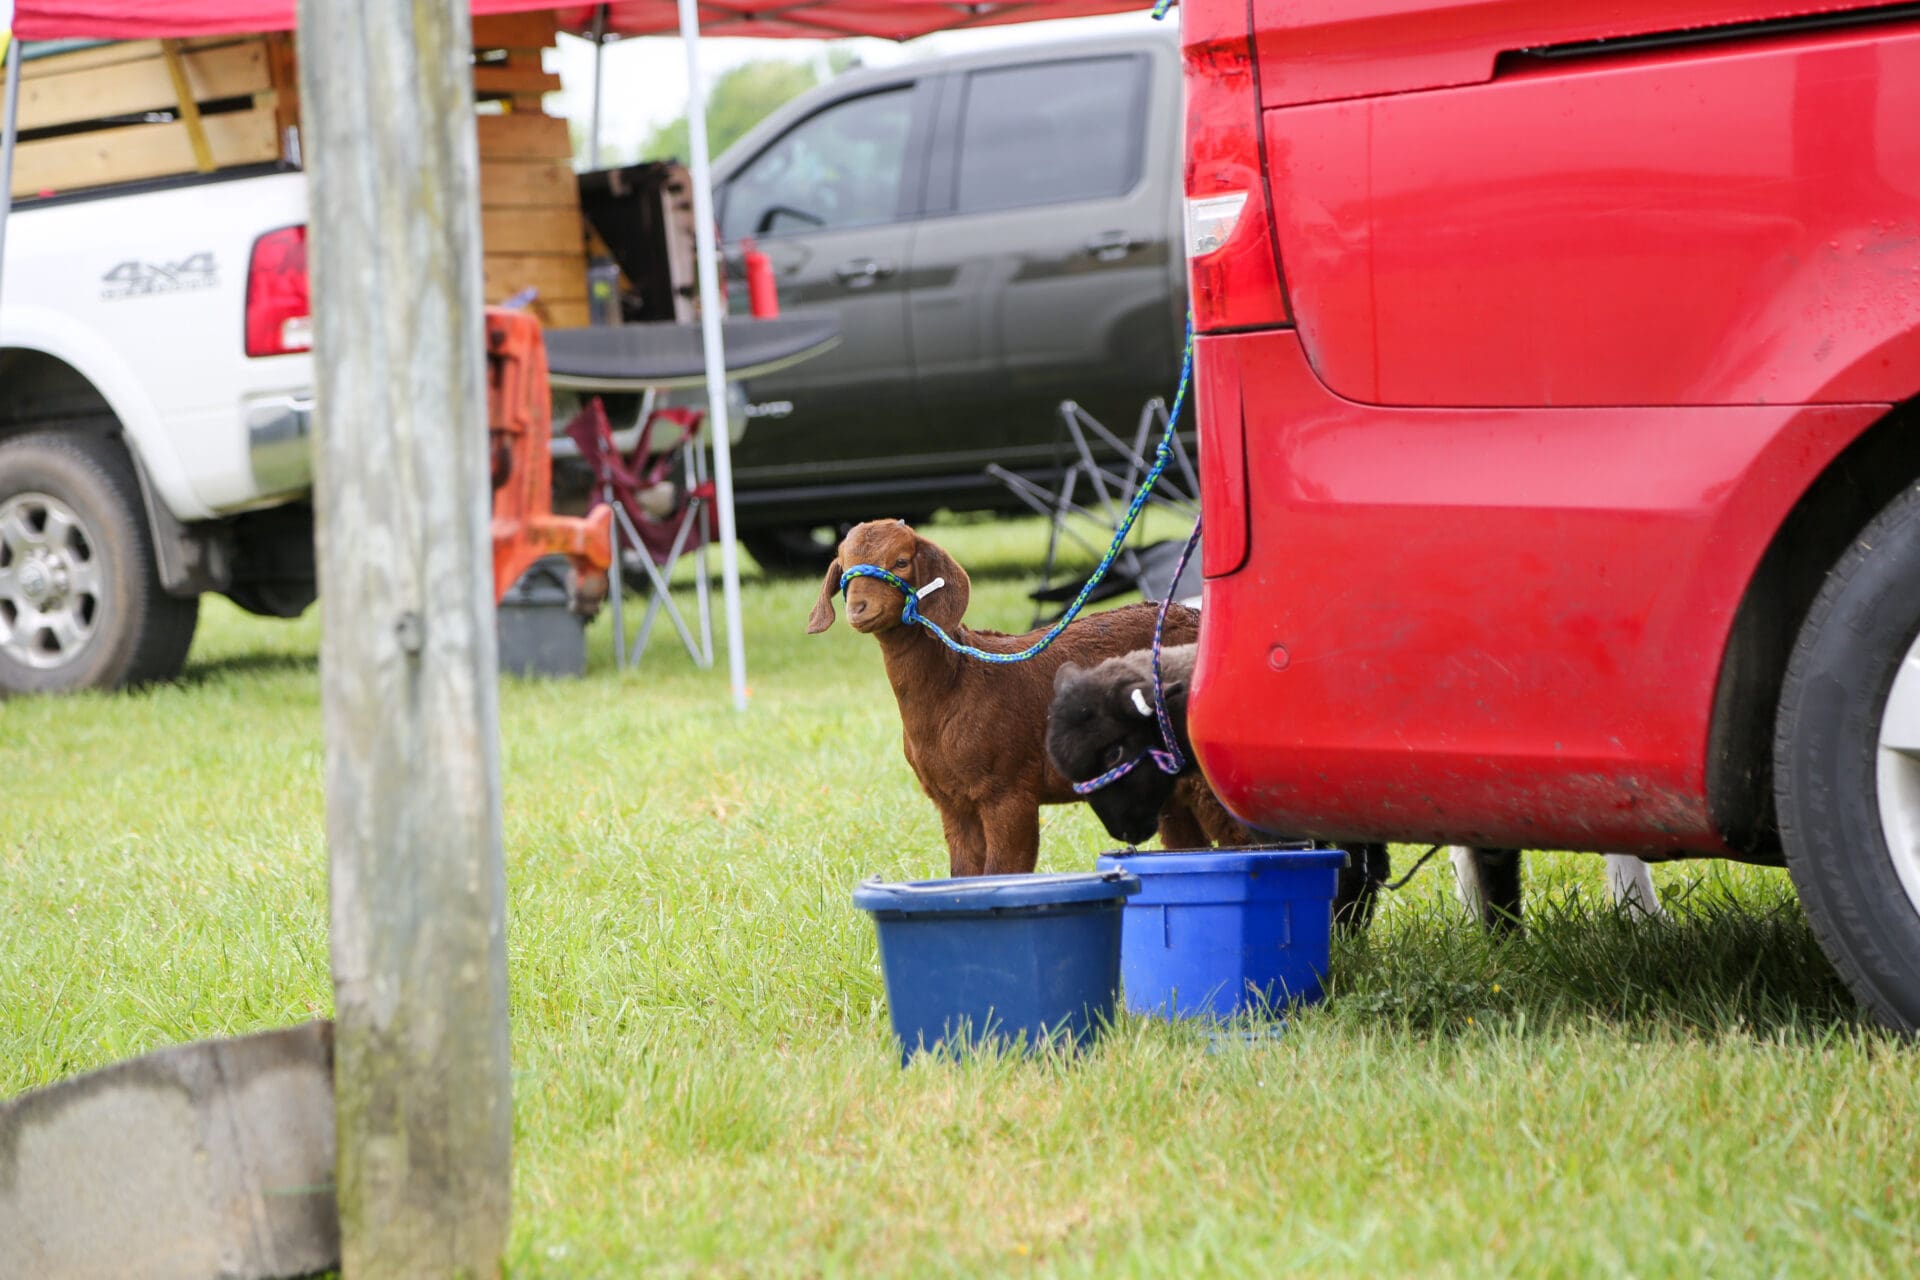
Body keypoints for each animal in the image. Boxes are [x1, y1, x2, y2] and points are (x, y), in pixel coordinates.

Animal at [806, 519, 1216, 877]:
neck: (956, 682)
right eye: (843, 565)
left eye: (901, 562)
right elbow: (964, 875)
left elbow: (1002, 871)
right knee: (1187, 845)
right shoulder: (951, 800)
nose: (858, 609)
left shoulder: (1008, 791)